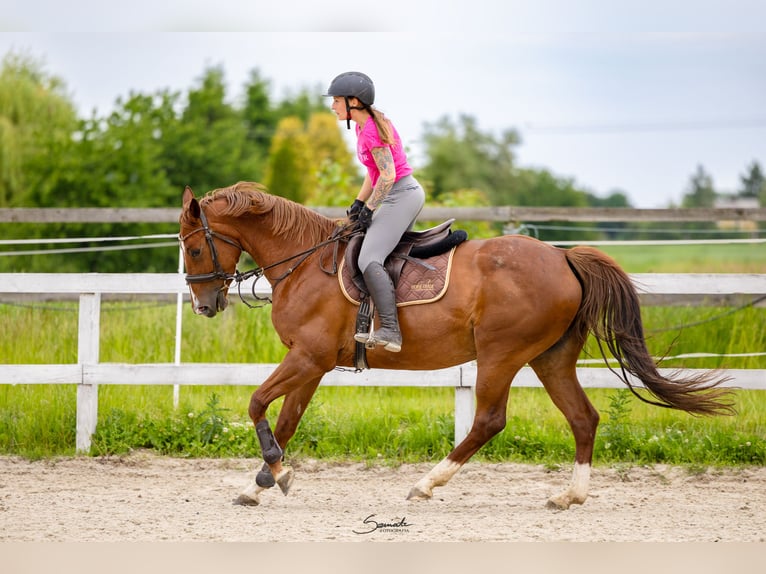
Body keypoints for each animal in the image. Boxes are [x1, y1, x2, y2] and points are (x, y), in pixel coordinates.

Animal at [178, 181, 734, 509]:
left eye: (193, 247)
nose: (204, 305)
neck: (303, 261)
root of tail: (563, 256)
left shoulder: (307, 357)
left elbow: (256, 404)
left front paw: (276, 474)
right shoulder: (313, 363)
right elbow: (287, 419)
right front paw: (264, 482)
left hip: (501, 354)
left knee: (489, 420)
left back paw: (427, 483)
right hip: (550, 358)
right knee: (583, 418)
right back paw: (568, 496)